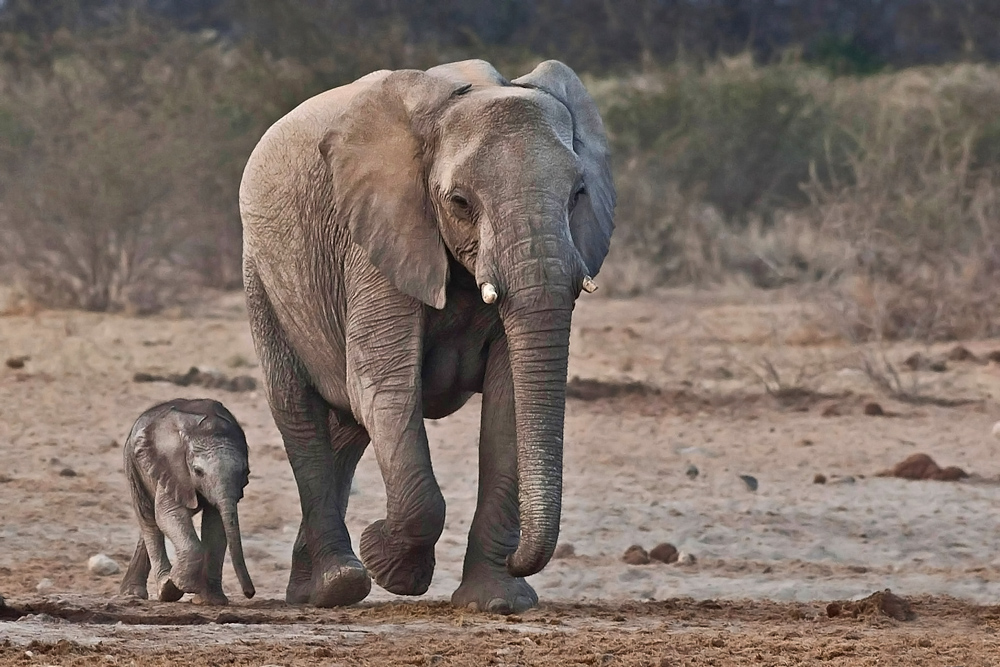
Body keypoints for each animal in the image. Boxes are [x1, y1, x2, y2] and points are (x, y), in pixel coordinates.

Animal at [119, 400, 256, 608]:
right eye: (198, 471)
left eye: (244, 472)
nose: (249, 593)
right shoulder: (172, 467)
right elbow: (169, 512)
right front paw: (176, 586)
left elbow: (216, 524)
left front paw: (211, 601)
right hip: (134, 464)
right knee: (149, 520)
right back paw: (157, 590)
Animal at [242, 60, 616, 612]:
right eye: (459, 202)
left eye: (577, 196)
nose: (519, 559)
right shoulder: (377, 238)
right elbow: (386, 386)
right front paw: (391, 566)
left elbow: (508, 404)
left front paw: (497, 602)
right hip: (262, 277)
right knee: (298, 409)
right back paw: (339, 584)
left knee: (347, 429)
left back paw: (309, 589)